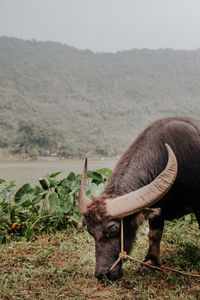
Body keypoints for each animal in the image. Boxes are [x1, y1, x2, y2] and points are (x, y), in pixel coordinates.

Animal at [77, 118, 200, 282]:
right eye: (90, 232)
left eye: (113, 229)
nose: (102, 274)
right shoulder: (157, 207)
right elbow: (154, 234)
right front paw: (150, 263)